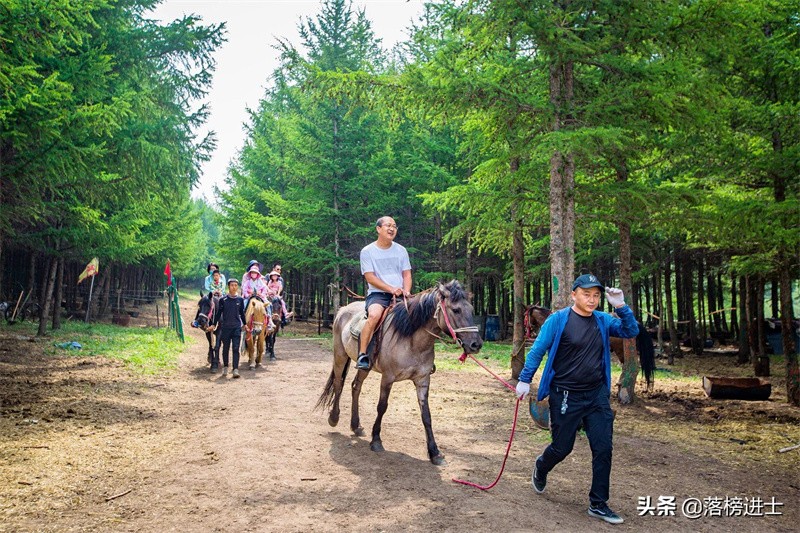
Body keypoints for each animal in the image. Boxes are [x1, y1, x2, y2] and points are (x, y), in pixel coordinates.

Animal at [318, 280, 482, 464]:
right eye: (456, 310)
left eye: (471, 309)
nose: (476, 344)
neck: (411, 339)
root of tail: (342, 310)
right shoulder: (387, 378)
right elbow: (382, 407)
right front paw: (376, 441)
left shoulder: (422, 380)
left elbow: (426, 415)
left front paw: (435, 452)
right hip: (340, 355)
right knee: (338, 384)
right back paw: (334, 418)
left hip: (365, 366)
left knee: (355, 386)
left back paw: (356, 426)